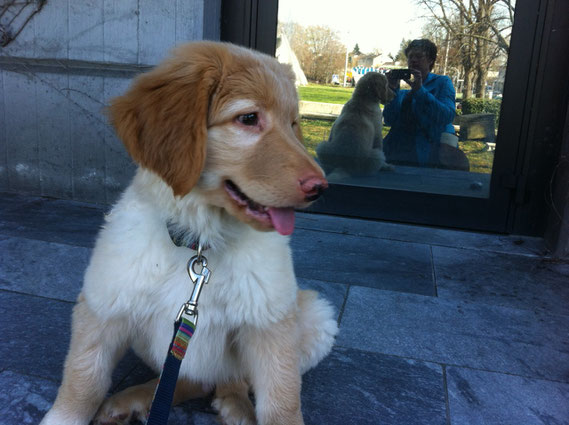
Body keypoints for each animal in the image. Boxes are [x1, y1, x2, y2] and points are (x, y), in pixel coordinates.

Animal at [43, 41, 342, 424]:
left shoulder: (270, 323)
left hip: (316, 317)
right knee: (187, 379)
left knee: (229, 378)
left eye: (293, 125)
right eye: (248, 118)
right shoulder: (104, 306)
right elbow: (82, 381)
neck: (200, 245)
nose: (321, 188)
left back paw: (232, 404)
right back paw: (134, 400)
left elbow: (282, 401)